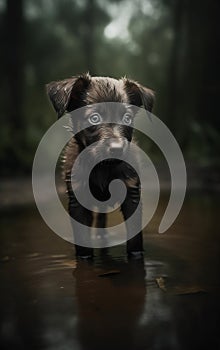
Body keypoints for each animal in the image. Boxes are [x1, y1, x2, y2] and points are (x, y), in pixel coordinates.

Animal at [46, 74, 154, 258]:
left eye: (127, 118)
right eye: (94, 118)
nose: (117, 148)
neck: (103, 167)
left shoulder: (131, 193)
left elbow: (135, 239)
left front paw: (136, 255)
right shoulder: (78, 200)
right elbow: (82, 239)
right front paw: (84, 256)